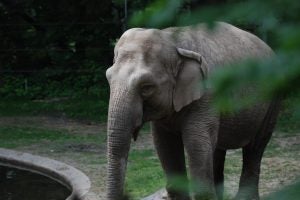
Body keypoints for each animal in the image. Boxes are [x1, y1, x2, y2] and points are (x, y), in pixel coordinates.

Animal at [106, 22, 282, 200]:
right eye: (108, 78)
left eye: (147, 87)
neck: (173, 41)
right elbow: (164, 144)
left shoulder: (207, 95)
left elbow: (196, 143)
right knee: (217, 148)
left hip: (273, 98)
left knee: (255, 146)